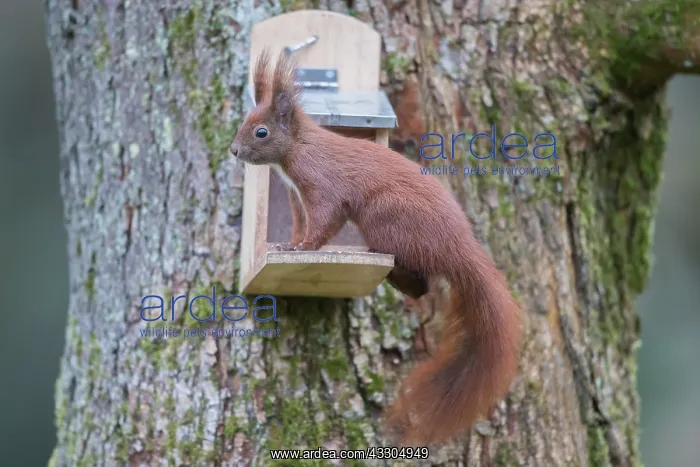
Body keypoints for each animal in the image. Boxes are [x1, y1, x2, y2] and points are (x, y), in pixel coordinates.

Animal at [229, 49, 523, 446]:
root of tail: (457, 244)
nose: (234, 150)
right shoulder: (295, 198)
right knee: (423, 282)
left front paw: (304, 246)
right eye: (245, 121)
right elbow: (300, 223)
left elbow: (324, 222)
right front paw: (290, 244)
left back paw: (375, 255)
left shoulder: (323, 187)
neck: (298, 149)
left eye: (261, 131)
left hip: (384, 216)